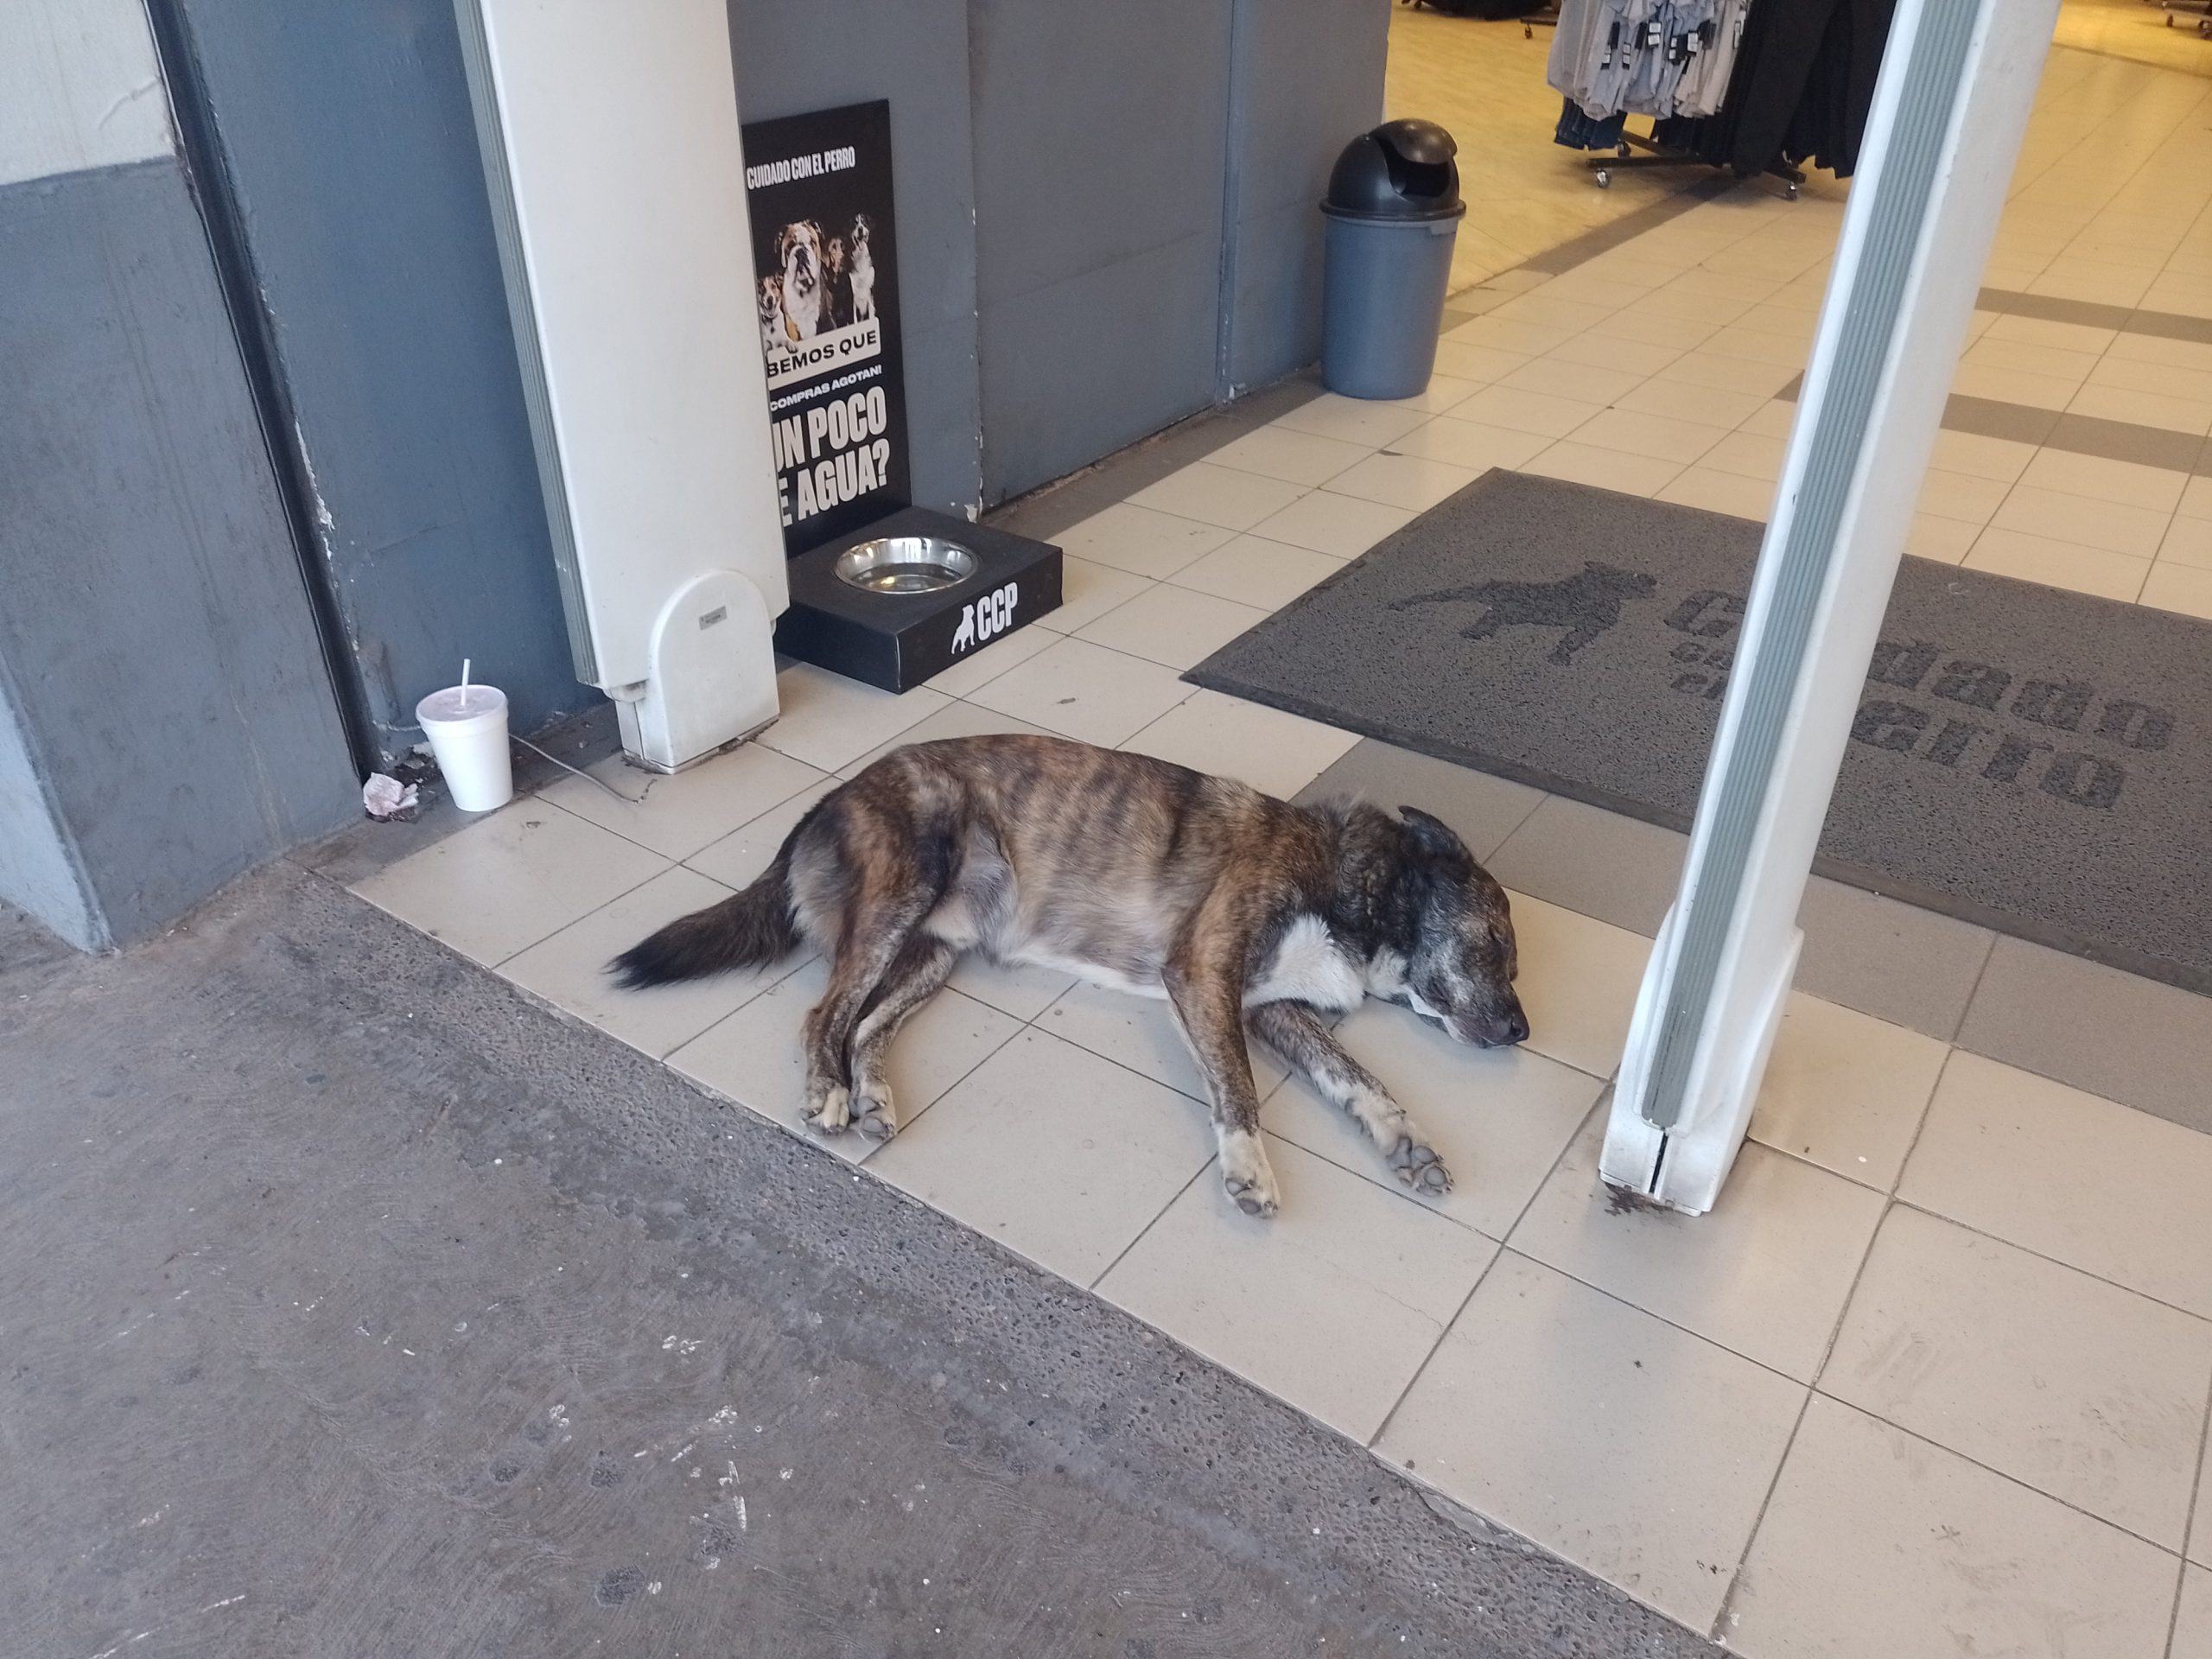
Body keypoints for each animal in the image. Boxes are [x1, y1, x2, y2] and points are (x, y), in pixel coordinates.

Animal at [612, 734, 1527, 1218]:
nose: (1525, 1031)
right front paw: (1247, 1167)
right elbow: (1240, 1089)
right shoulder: (1203, 973)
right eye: (1498, 947)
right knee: (823, 1016)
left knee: (866, 1023)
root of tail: (826, 801)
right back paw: (830, 1093)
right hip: (906, 890)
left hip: (932, 952)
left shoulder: (1274, 1009)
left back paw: (871, 1094)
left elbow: (1356, 1076)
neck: (1355, 877)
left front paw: (1403, 1138)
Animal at [1393, 560, 1657, 665]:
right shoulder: (1590, 624)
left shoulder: (1591, 628)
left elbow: (1571, 641)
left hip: (1500, 609)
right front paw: (1559, 657)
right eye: (1634, 575)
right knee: (1436, 596)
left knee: (1487, 619)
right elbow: (1572, 640)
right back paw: (1402, 603)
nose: (1653, 579)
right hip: (1475, 596)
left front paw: (1559, 656)